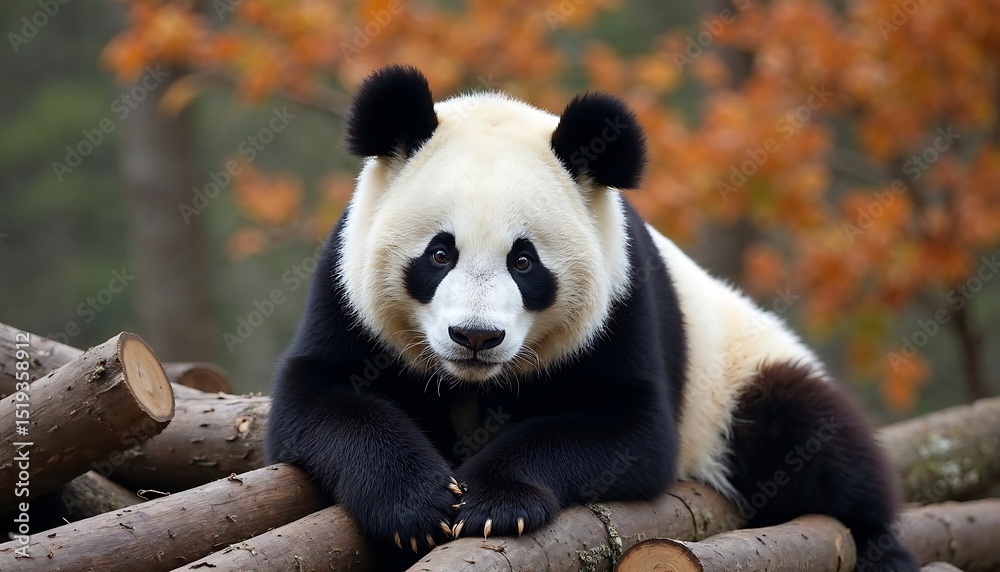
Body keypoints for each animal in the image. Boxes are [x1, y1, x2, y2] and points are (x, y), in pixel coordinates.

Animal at [265, 64, 919, 571]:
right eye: (439, 254)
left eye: (524, 261)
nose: (475, 336)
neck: (476, 383)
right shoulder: (345, 296)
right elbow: (322, 402)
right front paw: (416, 504)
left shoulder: (623, 305)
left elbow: (626, 428)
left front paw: (492, 501)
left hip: (739, 374)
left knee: (812, 444)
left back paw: (881, 548)